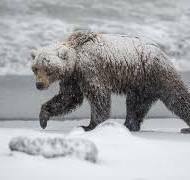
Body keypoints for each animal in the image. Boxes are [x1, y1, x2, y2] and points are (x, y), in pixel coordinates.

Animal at [31, 31, 190, 132]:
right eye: (35, 68)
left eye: (48, 69)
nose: (39, 85)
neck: (76, 59)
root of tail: (162, 51)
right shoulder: (73, 78)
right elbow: (68, 98)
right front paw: (43, 118)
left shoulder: (91, 69)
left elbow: (98, 97)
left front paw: (90, 126)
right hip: (140, 84)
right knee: (135, 105)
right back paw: (129, 125)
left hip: (154, 73)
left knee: (176, 97)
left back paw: (185, 127)